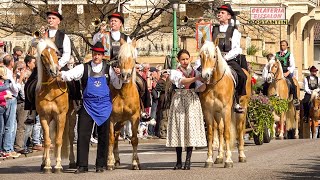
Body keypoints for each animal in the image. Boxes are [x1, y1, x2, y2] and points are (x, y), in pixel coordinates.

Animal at [35, 38, 69, 174]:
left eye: (55, 52)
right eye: (42, 55)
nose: (54, 71)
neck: (50, 90)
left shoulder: (61, 116)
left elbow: (58, 140)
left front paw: (58, 166)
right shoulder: (44, 117)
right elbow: (47, 141)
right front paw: (48, 166)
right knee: (46, 140)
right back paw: (43, 162)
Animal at [107, 40, 141, 170]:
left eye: (133, 57)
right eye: (119, 57)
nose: (125, 75)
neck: (123, 94)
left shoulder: (134, 118)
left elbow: (134, 139)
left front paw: (135, 163)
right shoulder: (111, 119)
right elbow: (110, 138)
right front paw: (109, 162)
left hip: (122, 121)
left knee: (118, 134)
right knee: (115, 136)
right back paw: (114, 159)